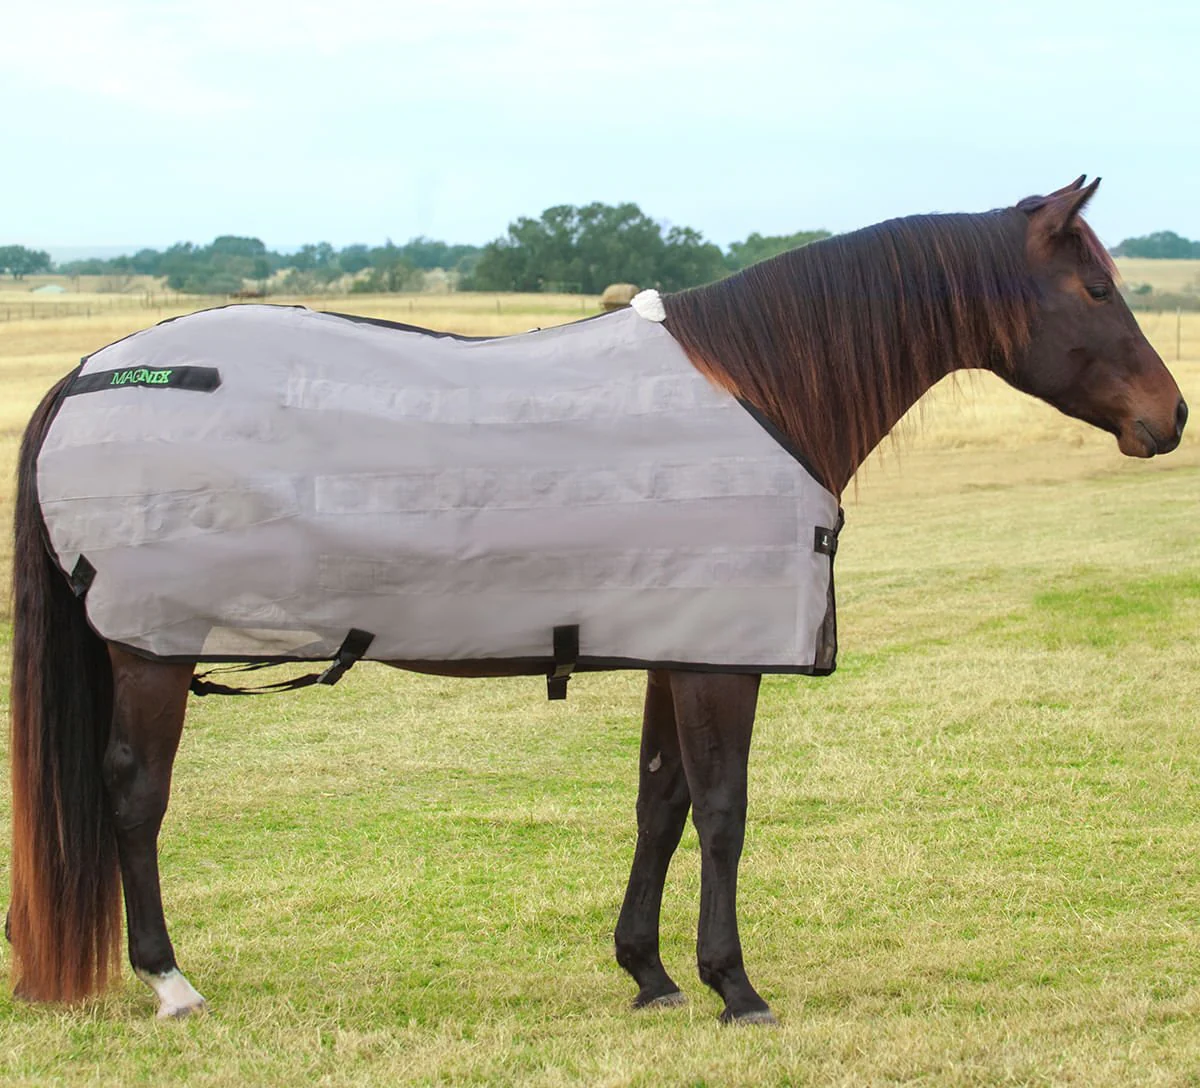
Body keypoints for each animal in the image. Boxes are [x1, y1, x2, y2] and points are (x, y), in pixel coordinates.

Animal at [7, 177, 1187, 1023]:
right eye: (1094, 290)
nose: (1169, 418)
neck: (763, 392)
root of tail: (88, 372)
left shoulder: (676, 645)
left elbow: (660, 802)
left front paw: (650, 974)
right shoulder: (721, 661)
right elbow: (723, 810)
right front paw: (734, 986)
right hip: (152, 653)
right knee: (134, 797)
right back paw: (170, 980)